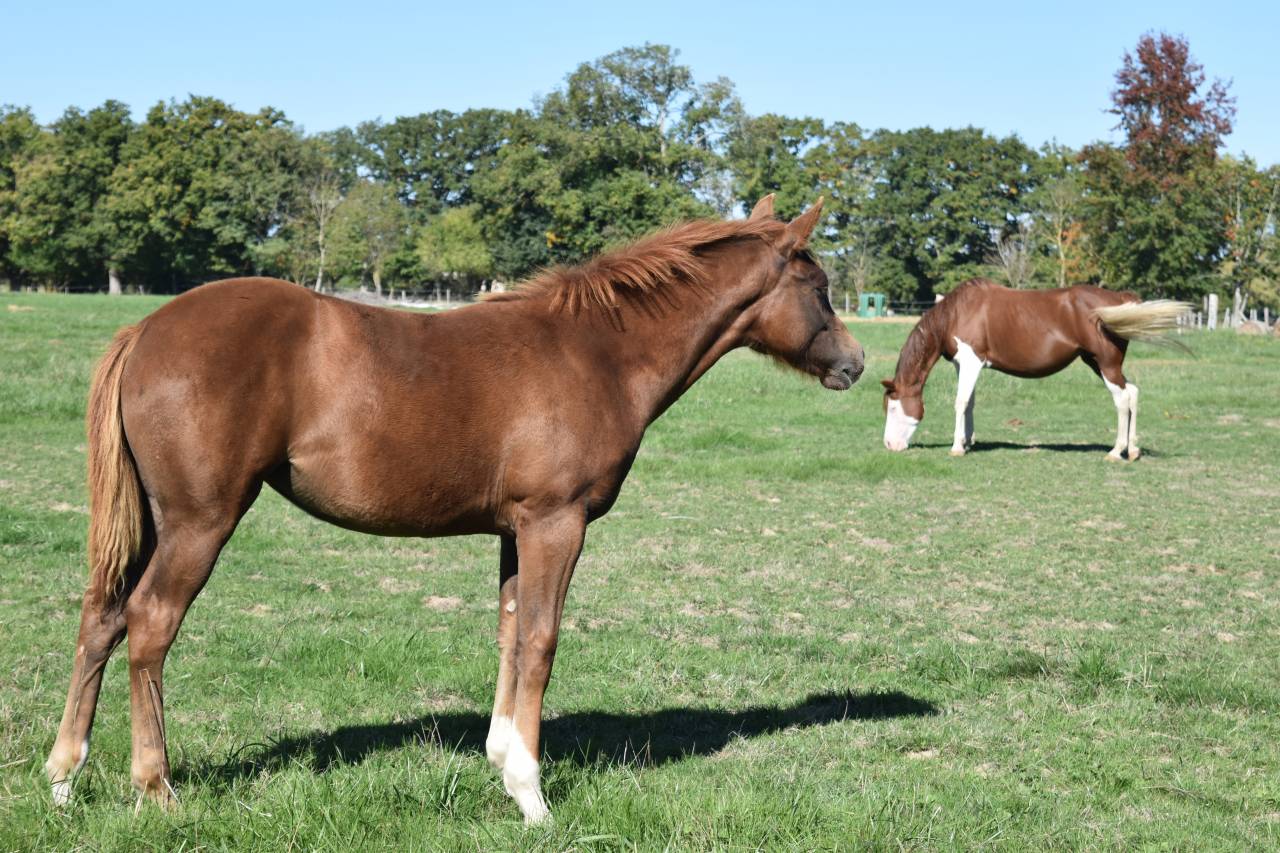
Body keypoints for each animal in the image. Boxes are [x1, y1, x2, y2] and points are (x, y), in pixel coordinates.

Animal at [45, 195, 865, 824]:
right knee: (150, 623)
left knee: (102, 618)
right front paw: (532, 796)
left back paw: (63, 777)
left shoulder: (514, 529)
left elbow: (508, 633)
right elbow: (541, 640)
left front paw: (501, 762)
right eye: (820, 287)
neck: (597, 352)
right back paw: (155, 787)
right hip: (200, 519)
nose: (855, 365)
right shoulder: (555, 523)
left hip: (154, 521)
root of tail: (144, 329)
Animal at [880, 279, 1188, 459]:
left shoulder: (971, 361)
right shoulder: (964, 364)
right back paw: (1133, 450)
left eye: (893, 408)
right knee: (1132, 392)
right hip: (1098, 363)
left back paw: (1116, 451)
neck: (956, 313)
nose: (889, 446)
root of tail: (1119, 299)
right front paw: (968, 441)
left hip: (1106, 364)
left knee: (1122, 400)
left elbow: (960, 401)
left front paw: (957, 448)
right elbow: (970, 403)